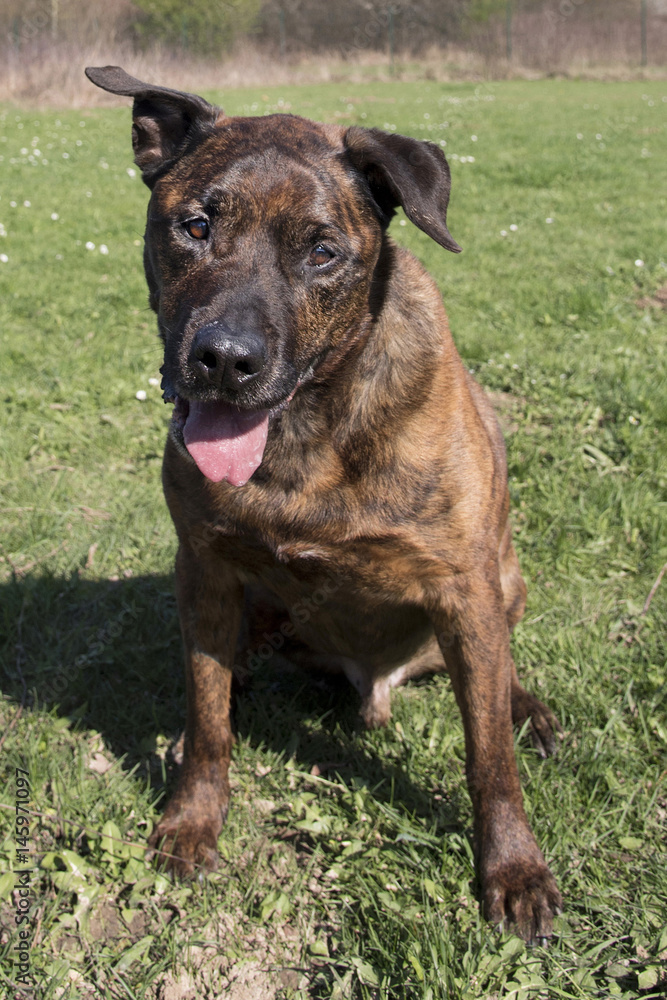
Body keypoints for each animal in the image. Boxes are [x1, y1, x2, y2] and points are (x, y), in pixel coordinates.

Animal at [85, 66, 564, 940]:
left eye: (322, 251)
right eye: (195, 226)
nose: (223, 359)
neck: (302, 431)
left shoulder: (464, 589)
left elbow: (488, 757)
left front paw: (512, 871)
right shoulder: (204, 568)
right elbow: (208, 721)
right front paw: (192, 819)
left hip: (504, 583)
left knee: (497, 675)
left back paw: (529, 710)